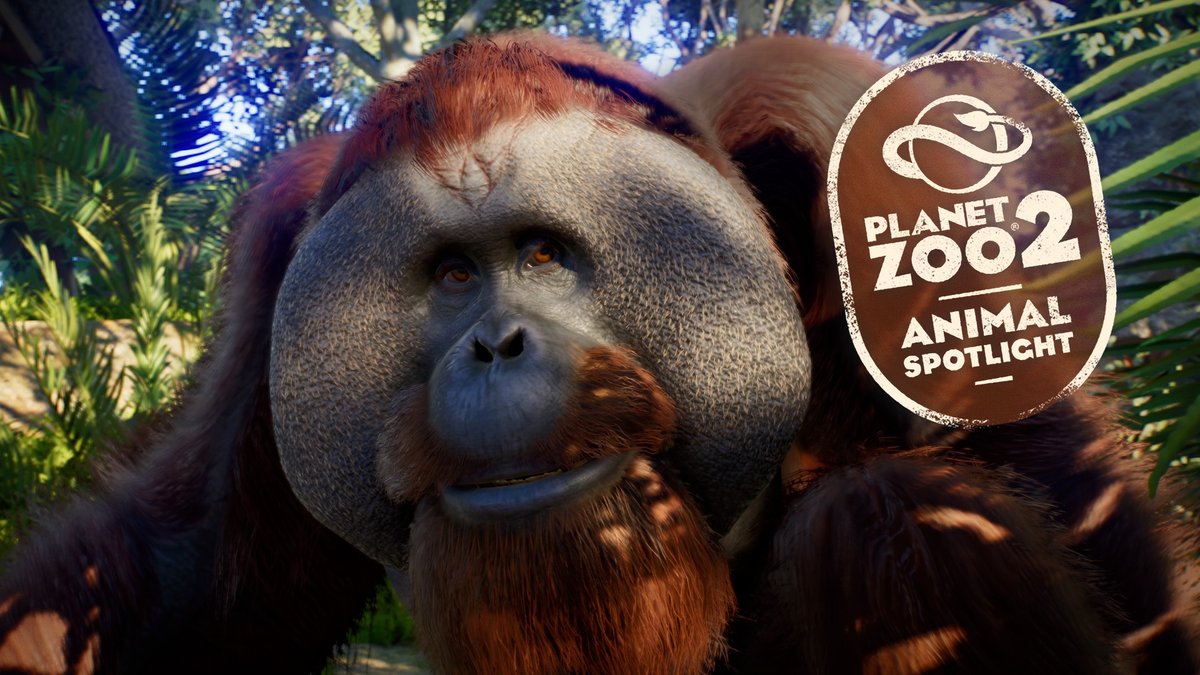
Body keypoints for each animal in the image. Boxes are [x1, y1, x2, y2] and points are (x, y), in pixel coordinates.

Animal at [0, 32, 1194, 675]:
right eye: (452, 276)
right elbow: (197, 573)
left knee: (892, 518)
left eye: (543, 253)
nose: (494, 344)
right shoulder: (275, 266)